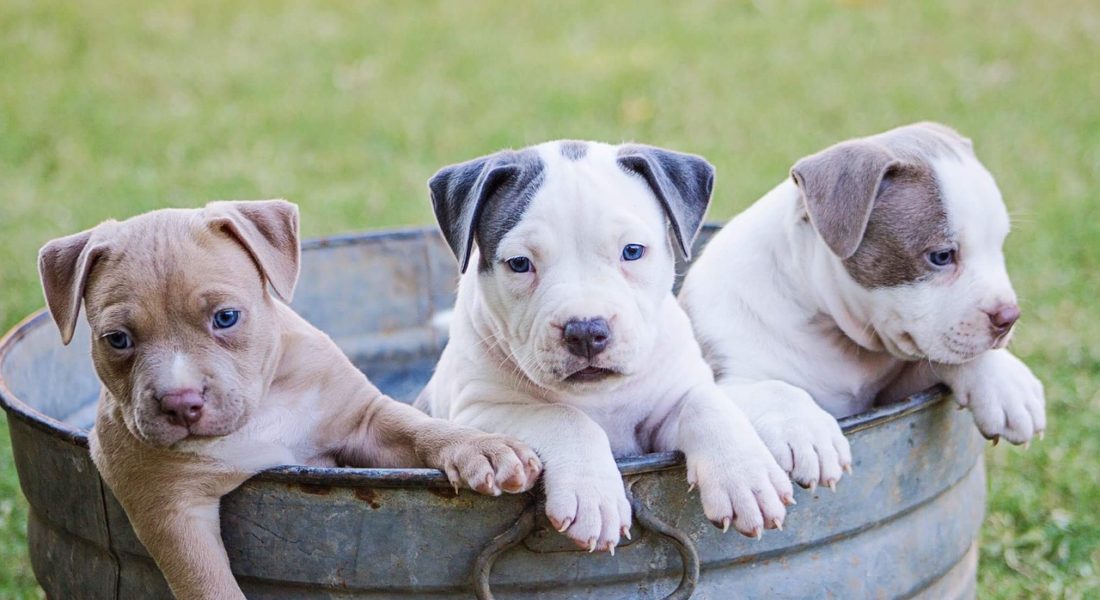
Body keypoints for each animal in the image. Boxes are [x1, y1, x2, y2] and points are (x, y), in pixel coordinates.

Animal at [36, 201, 543, 598]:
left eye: (226, 317)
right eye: (117, 340)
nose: (181, 403)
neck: (259, 410)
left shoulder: (364, 422)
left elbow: (419, 429)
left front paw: (483, 449)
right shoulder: (170, 509)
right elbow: (208, 585)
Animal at [415, 140, 796, 552]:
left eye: (632, 251)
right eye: (519, 263)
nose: (585, 330)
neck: (599, 395)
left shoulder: (667, 408)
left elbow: (706, 404)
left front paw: (745, 475)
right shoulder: (478, 411)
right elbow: (564, 416)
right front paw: (593, 498)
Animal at [677, 121, 1047, 491]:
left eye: (999, 245)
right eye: (942, 256)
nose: (1009, 317)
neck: (833, 333)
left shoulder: (898, 390)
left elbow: (952, 357)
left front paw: (1007, 383)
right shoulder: (726, 374)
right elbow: (774, 389)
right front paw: (807, 432)